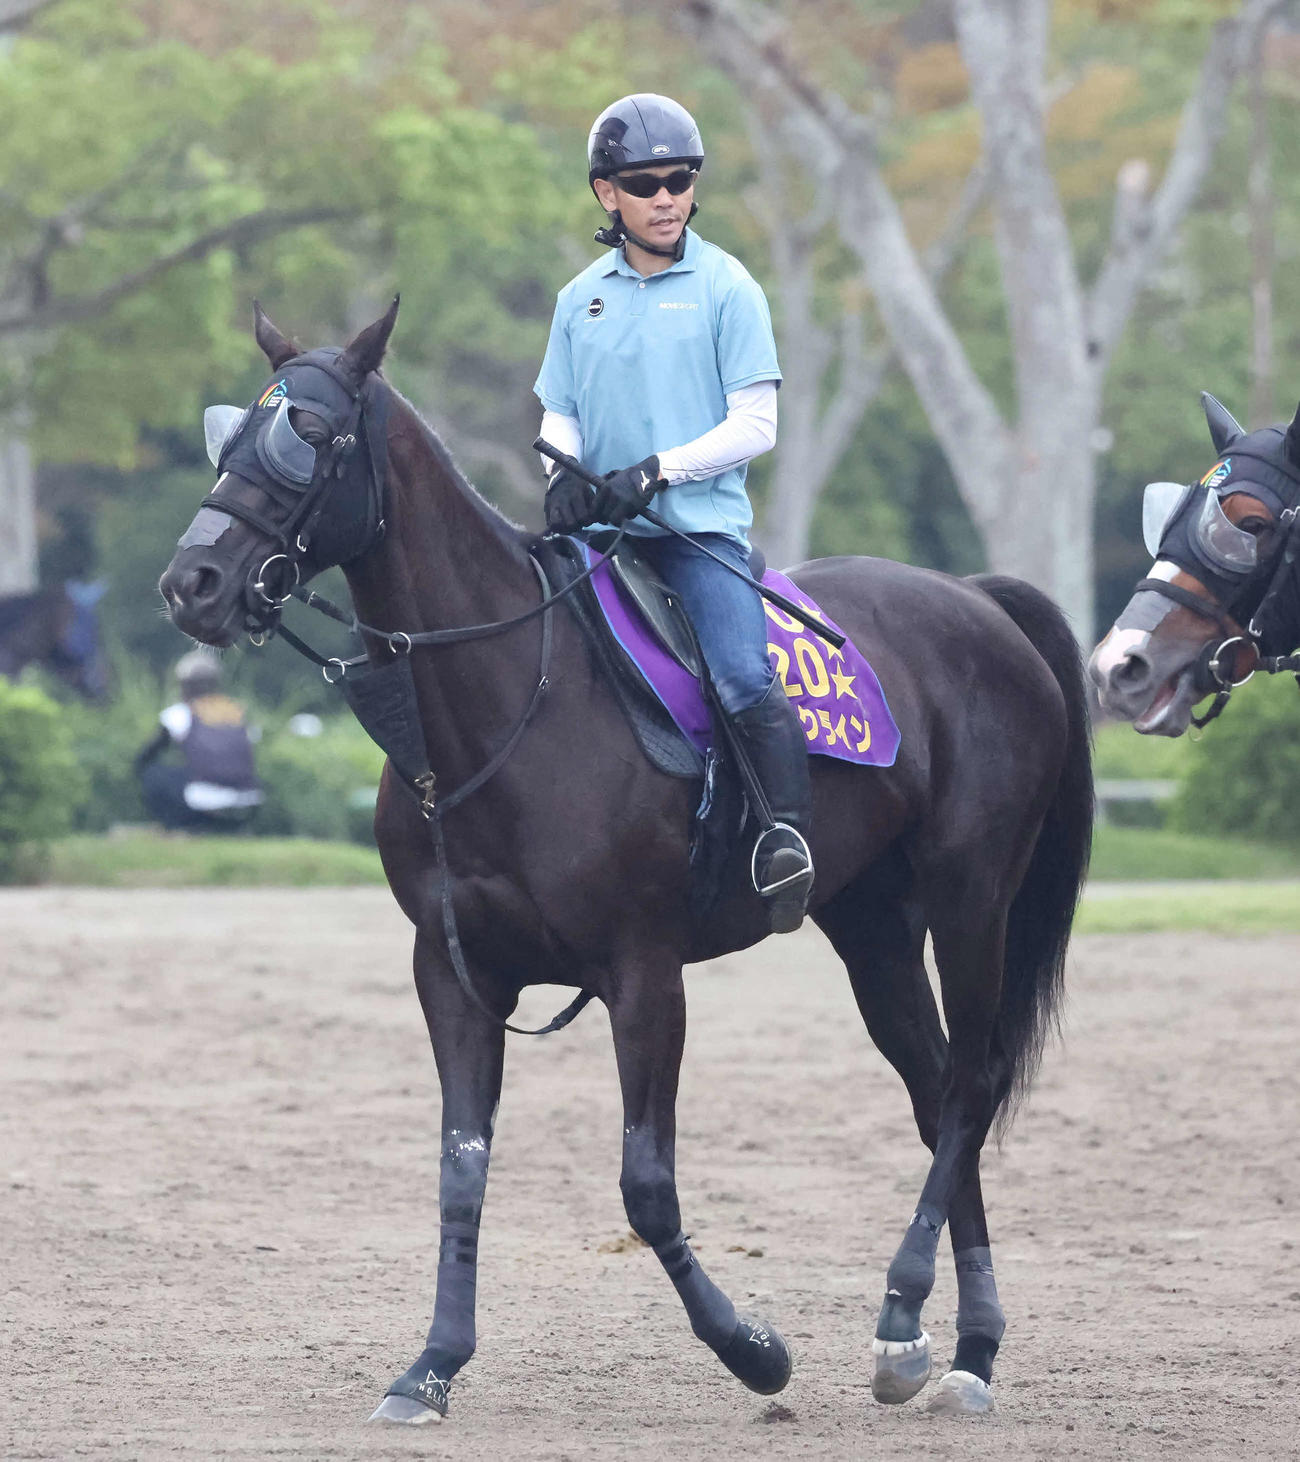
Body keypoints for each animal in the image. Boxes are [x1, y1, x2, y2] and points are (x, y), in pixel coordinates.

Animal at [159, 300, 1093, 1424]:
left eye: (311, 434)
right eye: (229, 435)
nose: (193, 582)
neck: (507, 701)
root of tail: (980, 600)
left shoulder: (643, 973)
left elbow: (646, 1186)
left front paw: (753, 1350)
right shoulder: (453, 972)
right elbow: (461, 1169)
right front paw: (431, 1366)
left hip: (969, 898)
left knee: (971, 1086)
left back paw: (916, 1317)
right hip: (872, 926)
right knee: (936, 1086)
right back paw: (953, 1346)